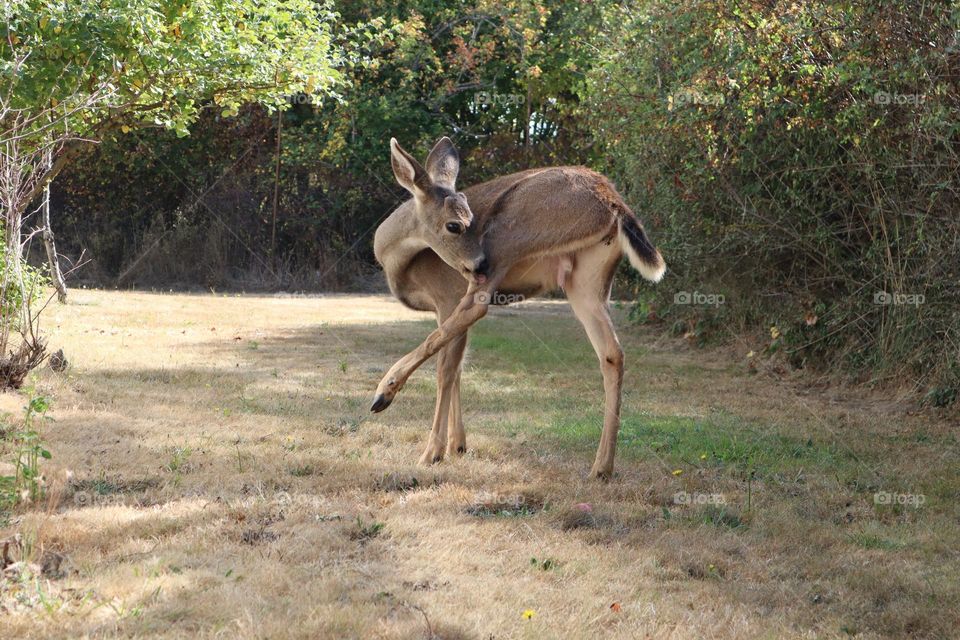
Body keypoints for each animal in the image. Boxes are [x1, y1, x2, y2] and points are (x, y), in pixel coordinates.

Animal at [370, 136, 665, 479]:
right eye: (455, 225)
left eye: (471, 220)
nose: (480, 263)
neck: (398, 261)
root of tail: (614, 202)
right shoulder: (441, 308)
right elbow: (457, 366)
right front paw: (458, 445)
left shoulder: (447, 296)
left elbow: (446, 367)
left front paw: (434, 451)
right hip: (586, 280)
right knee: (612, 353)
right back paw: (601, 468)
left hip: (509, 234)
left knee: (478, 307)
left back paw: (387, 397)